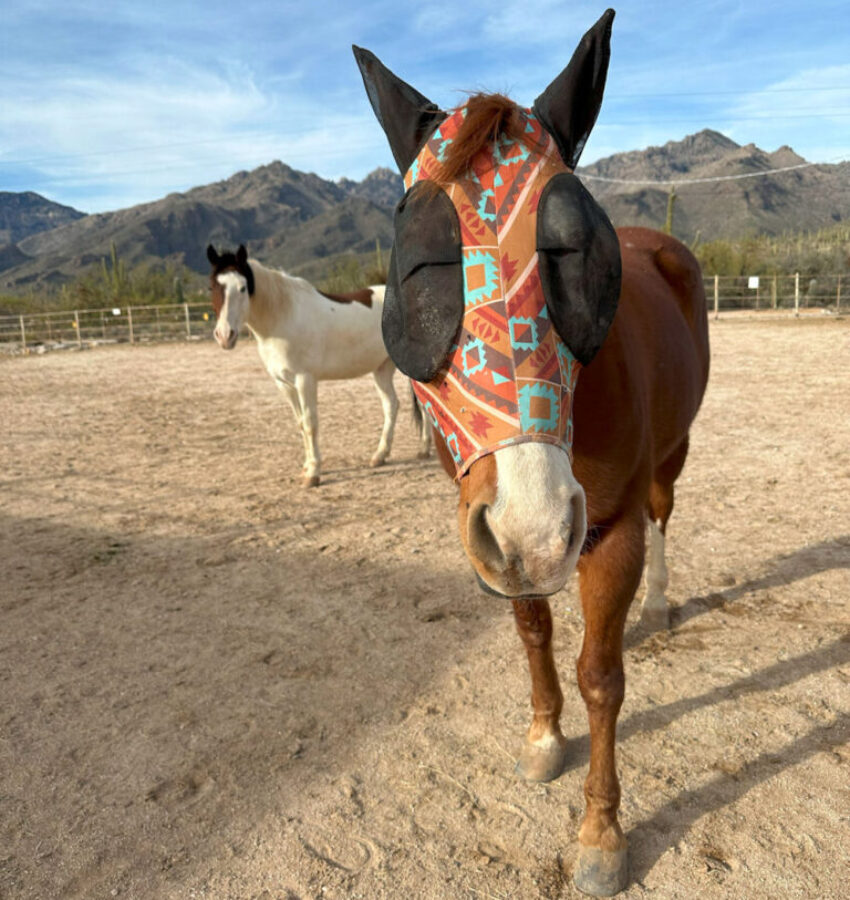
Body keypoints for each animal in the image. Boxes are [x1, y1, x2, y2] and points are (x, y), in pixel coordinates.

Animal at [206, 244, 431, 487]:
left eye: (242, 288)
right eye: (212, 287)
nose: (225, 336)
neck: (283, 316)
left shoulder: (305, 379)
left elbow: (310, 423)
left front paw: (313, 474)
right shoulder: (284, 383)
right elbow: (300, 424)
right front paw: (306, 467)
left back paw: (424, 450)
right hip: (382, 369)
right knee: (392, 405)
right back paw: (380, 455)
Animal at [354, 8, 709, 896]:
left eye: (576, 253)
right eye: (421, 261)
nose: (538, 524)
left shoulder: (607, 535)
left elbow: (602, 675)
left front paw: (601, 833)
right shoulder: (499, 543)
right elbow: (533, 634)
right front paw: (546, 735)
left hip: (672, 456)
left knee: (664, 515)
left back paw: (660, 604)